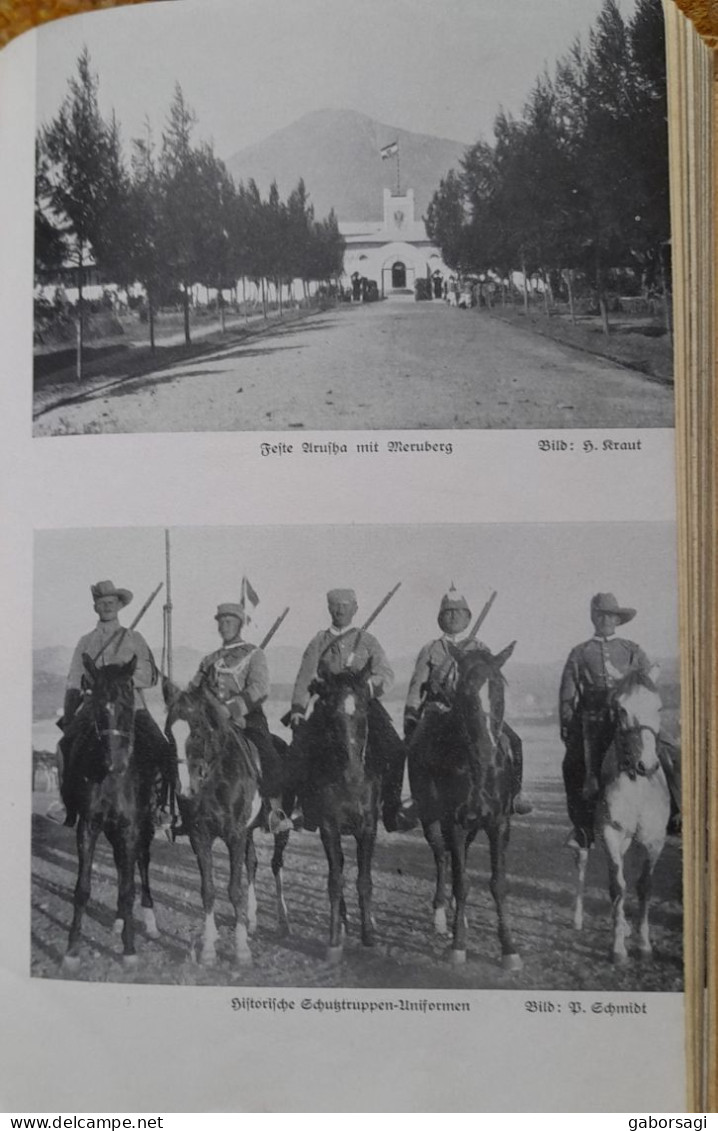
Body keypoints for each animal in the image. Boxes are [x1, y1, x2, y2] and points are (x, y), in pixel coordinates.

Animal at [62, 655, 158, 972]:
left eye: (128, 704)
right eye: (98, 706)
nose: (116, 763)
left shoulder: (130, 828)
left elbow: (128, 890)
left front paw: (129, 950)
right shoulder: (88, 826)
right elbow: (82, 889)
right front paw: (72, 949)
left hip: (143, 827)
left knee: (142, 863)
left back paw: (149, 919)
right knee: (120, 864)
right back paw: (117, 921)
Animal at [165, 678, 291, 963]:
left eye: (196, 732)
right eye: (168, 733)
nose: (184, 790)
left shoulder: (235, 835)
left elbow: (234, 890)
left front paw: (241, 949)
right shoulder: (200, 837)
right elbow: (208, 890)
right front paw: (209, 948)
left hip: (280, 828)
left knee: (276, 864)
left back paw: (283, 919)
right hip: (250, 831)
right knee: (252, 864)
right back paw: (252, 918)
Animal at [293, 660, 379, 963]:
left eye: (364, 709)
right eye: (331, 713)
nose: (353, 773)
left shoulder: (368, 828)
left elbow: (364, 881)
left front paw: (368, 934)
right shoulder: (329, 828)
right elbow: (334, 881)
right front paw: (333, 941)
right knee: (338, 869)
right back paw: (341, 921)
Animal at [407, 642, 520, 968]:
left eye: (498, 690)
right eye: (467, 694)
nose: (488, 752)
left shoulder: (498, 824)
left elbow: (498, 883)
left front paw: (509, 947)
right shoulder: (453, 823)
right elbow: (461, 881)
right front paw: (458, 945)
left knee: (461, 859)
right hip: (432, 822)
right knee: (443, 860)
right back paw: (441, 916)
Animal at [572, 665, 673, 968]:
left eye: (658, 706)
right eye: (621, 709)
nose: (647, 765)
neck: (636, 785)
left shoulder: (654, 839)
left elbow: (644, 886)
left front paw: (644, 944)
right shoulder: (609, 833)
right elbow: (618, 886)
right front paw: (617, 948)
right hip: (589, 836)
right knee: (583, 864)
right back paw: (578, 918)